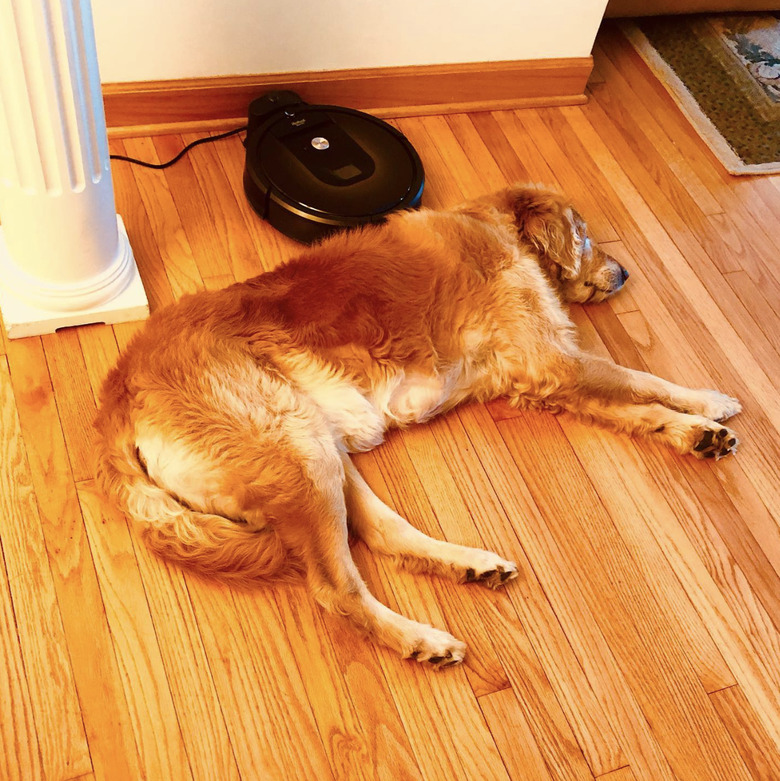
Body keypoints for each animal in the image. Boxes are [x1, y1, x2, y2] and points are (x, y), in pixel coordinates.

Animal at [94, 186, 740, 668]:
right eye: (583, 235)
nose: (625, 272)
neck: (498, 229)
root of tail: (117, 397)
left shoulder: (545, 378)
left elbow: (638, 408)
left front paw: (692, 432)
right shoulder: (555, 361)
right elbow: (642, 380)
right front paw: (708, 402)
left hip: (317, 446)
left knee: (385, 535)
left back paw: (470, 564)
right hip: (297, 451)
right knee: (336, 589)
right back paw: (421, 640)